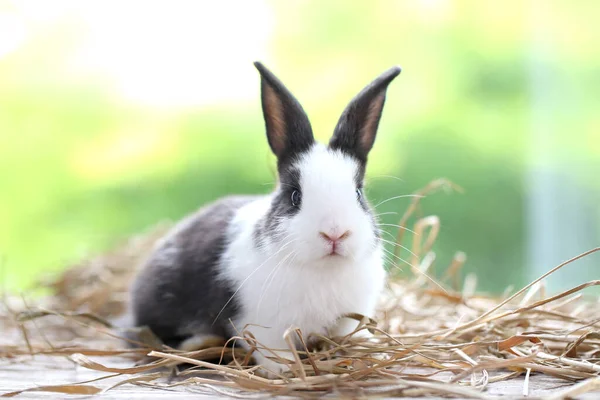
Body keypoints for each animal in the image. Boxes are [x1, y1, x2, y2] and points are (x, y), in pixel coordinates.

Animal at [131, 61, 404, 376]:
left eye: (358, 193)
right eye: (294, 196)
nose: (335, 233)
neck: (323, 269)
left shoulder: (347, 319)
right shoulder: (263, 327)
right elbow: (274, 354)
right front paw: (286, 371)